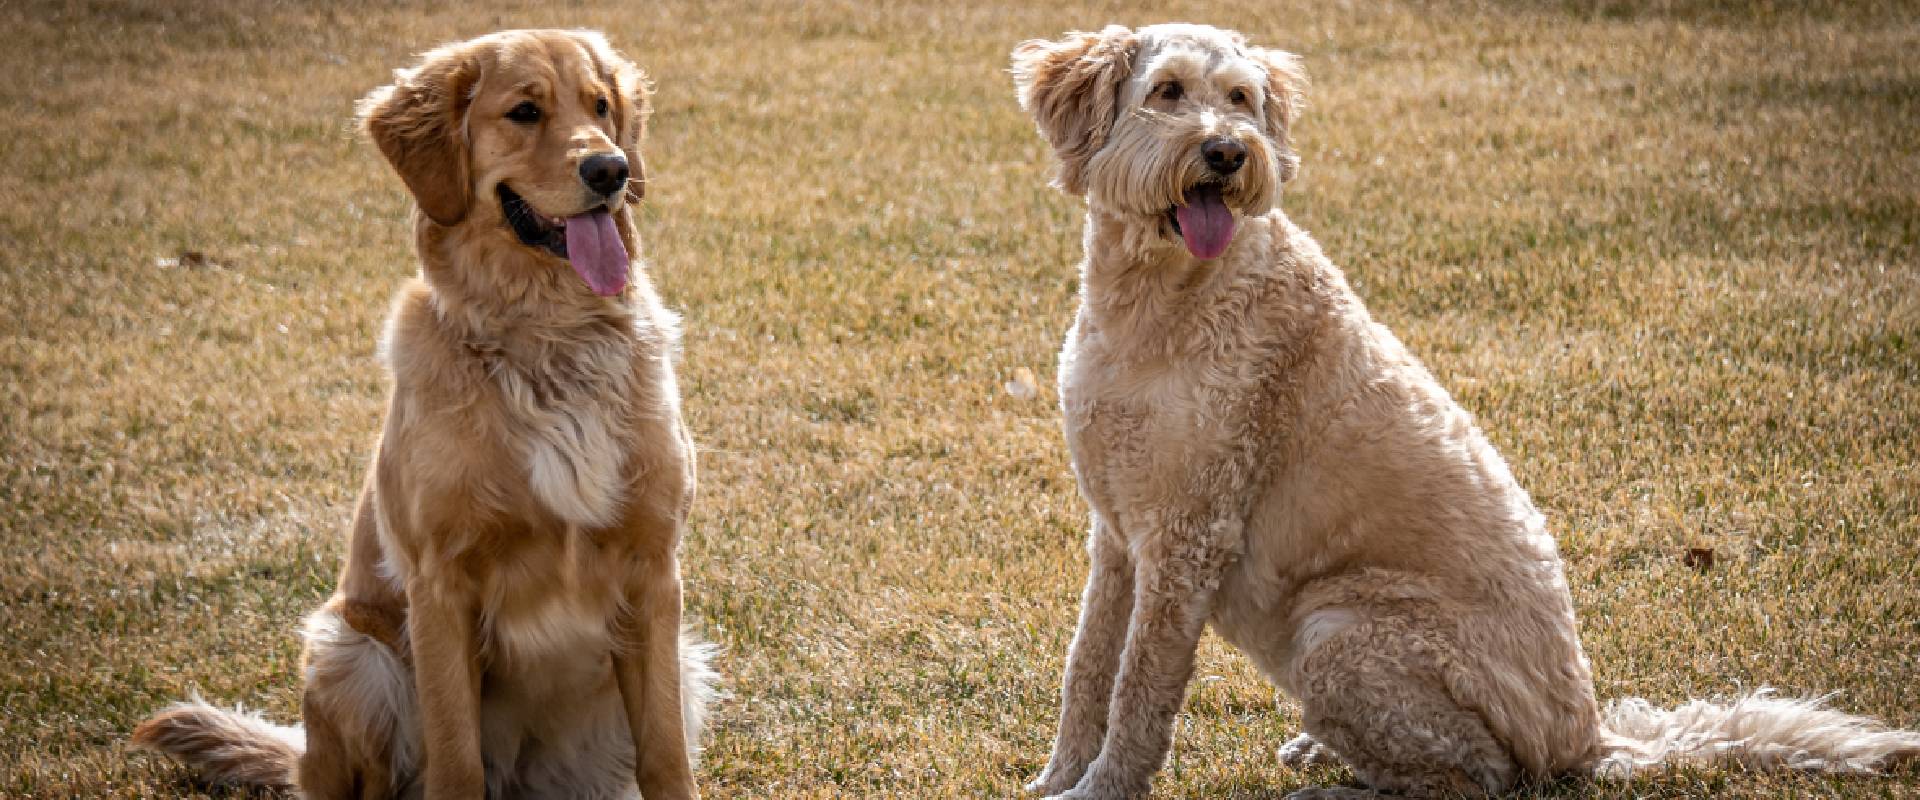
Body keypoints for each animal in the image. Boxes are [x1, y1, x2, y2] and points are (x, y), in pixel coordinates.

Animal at [135, 28, 718, 794]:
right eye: (525, 112)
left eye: (601, 106)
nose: (612, 169)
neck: (547, 337)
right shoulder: (439, 583)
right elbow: (456, 757)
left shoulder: (653, 575)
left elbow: (664, 756)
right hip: (351, 652)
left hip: (683, 662)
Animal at [1013, 21, 1912, 794]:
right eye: (1167, 90)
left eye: (1239, 98)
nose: (1230, 153)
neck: (1157, 300)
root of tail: (1586, 738)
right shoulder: (1119, 534)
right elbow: (1088, 665)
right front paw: (1058, 777)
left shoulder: (1188, 535)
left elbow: (1141, 685)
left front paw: (1102, 789)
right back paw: (1322, 752)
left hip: (1342, 633)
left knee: (1479, 776)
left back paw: (1334, 782)